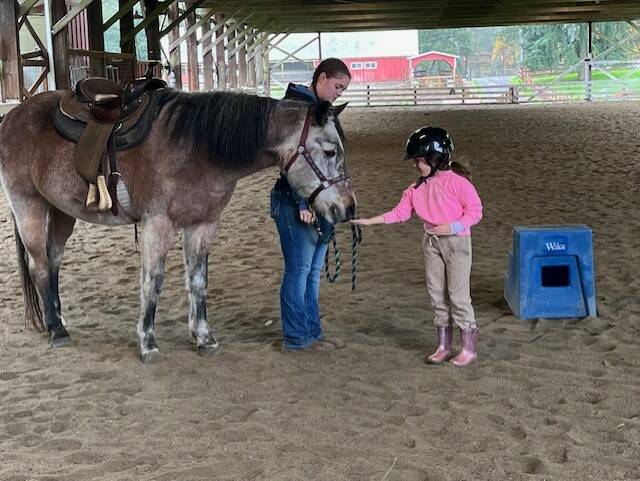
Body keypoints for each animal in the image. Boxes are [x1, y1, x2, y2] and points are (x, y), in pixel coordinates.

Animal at [0, 88, 356, 362]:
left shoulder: (203, 224)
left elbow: (198, 281)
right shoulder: (157, 224)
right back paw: (57, 331)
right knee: (39, 265)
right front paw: (147, 342)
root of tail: (14, 115)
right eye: (329, 151)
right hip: (28, 206)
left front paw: (204, 337)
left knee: (53, 261)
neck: (197, 148)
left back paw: (58, 319)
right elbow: (152, 281)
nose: (348, 208)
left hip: (62, 212)